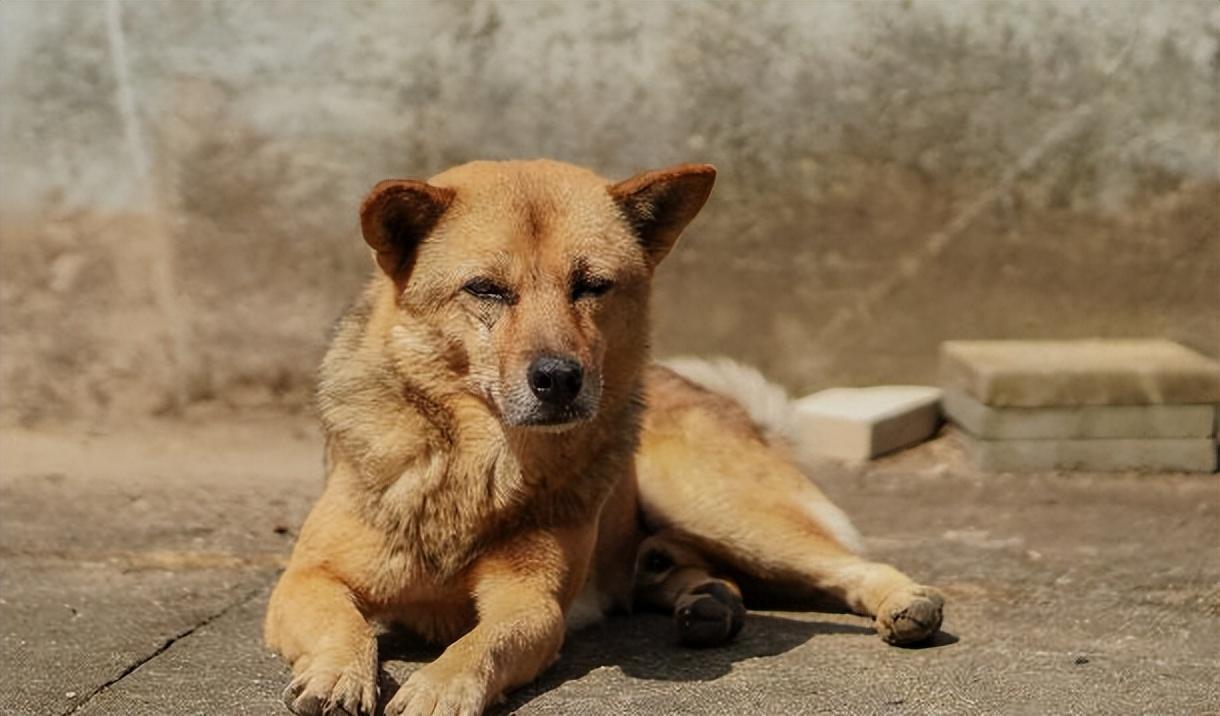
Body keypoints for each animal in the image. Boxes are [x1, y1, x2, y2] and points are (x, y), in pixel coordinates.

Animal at [272, 159, 946, 712]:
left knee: (846, 563)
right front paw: (338, 674)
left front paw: (441, 685)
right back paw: (706, 600)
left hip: (716, 507)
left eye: (592, 285)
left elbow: (483, 642)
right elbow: (345, 625)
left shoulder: (532, 604)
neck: (475, 461)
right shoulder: (307, 579)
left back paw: (902, 600)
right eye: (486, 289)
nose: (558, 379)